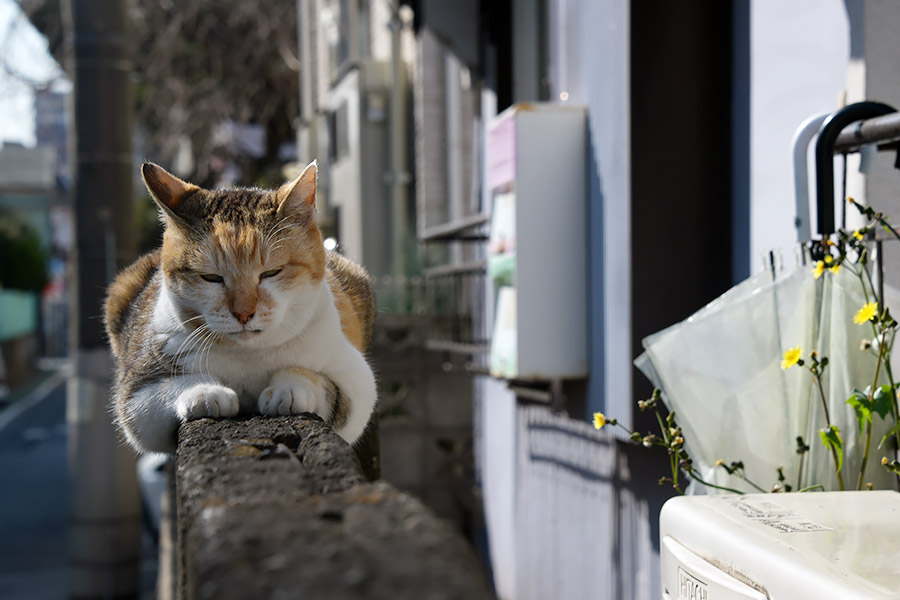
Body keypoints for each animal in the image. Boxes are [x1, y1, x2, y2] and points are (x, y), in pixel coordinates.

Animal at [105, 161, 376, 454]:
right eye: (211, 277)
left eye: (271, 273)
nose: (243, 313)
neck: (250, 356)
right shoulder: (135, 394)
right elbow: (164, 390)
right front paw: (206, 392)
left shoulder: (357, 377)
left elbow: (330, 390)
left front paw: (290, 388)